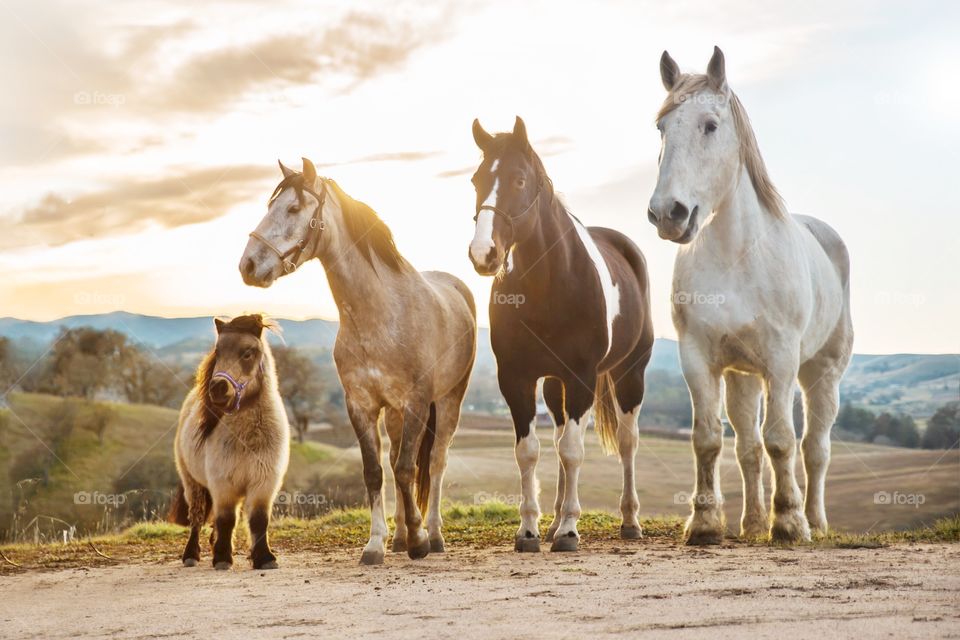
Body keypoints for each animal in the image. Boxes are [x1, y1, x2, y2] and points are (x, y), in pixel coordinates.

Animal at [171, 312, 288, 568]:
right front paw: (223, 558)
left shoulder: (263, 484)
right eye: (218, 351)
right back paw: (191, 555)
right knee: (197, 517)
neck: (248, 439)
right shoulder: (223, 485)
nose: (217, 388)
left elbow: (258, 521)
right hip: (193, 484)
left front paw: (264, 557)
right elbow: (226, 520)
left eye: (247, 353)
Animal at [239, 160, 476, 564]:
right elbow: (375, 471)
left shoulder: (416, 403)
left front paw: (419, 541)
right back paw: (399, 538)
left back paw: (433, 535)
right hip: (394, 413)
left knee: (435, 462)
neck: (379, 313)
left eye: (293, 208)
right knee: (398, 460)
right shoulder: (361, 406)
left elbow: (407, 468)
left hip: (448, 401)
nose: (249, 265)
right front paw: (377, 543)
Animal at [466, 119, 660, 552]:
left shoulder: (581, 375)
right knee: (556, 438)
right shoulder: (516, 378)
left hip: (630, 374)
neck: (549, 283)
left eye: (519, 179)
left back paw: (629, 521)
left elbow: (572, 451)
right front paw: (529, 530)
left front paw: (570, 531)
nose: (483, 254)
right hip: (556, 385)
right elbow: (529, 452)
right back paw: (553, 520)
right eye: (476, 180)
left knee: (627, 442)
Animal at [648, 47, 852, 544]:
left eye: (710, 125)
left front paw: (790, 523)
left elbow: (782, 439)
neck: (736, 259)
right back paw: (753, 522)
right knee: (748, 446)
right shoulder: (698, 357)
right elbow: (708, 439)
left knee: (814, 447)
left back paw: (815, 520)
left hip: (821, 374)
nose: (668, 214)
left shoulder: (781, 360)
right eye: (662, 127)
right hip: (742, 377)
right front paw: (704, 523)